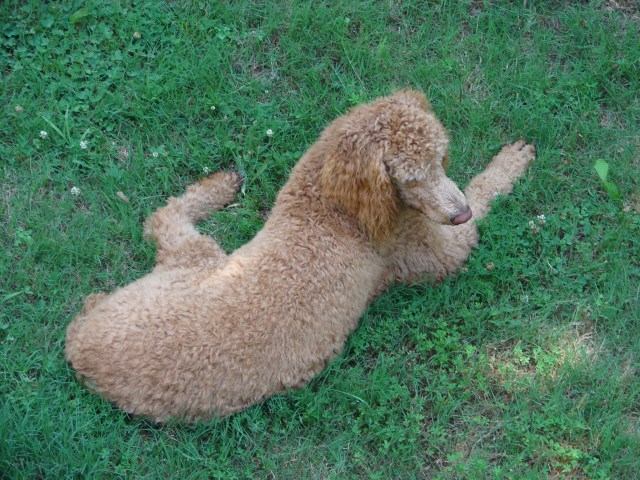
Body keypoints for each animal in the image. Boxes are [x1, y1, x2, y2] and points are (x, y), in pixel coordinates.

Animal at [65, 90, 536, 420]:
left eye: (440, 158)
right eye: (410, 178)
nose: (458, 213)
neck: (333, 207)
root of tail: (80, 343)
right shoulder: (437, 250)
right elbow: (485, 189)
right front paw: (511, 163)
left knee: (159, 220)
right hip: (201, 259)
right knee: (164, 217)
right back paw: (223, 185)